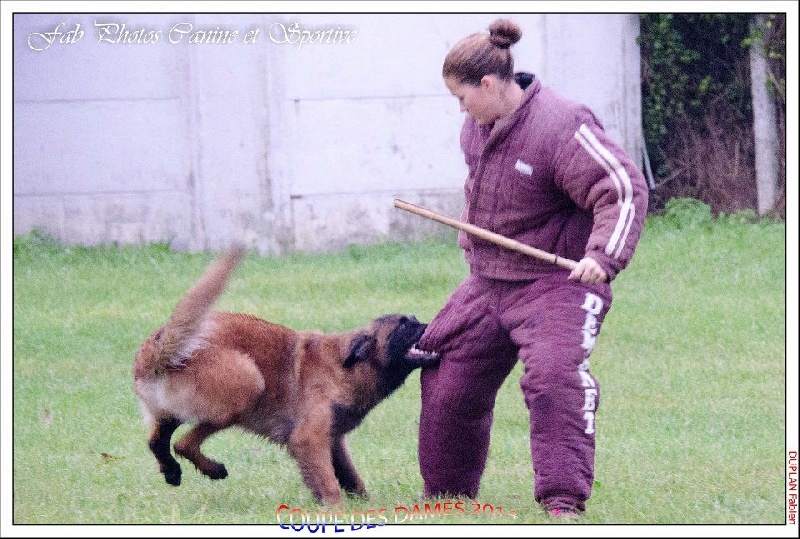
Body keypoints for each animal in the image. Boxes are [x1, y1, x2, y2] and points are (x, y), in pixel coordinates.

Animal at [134, 248, 440, 506]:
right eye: (404, 326)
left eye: (414, 319)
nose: (432, 323)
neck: (347, 366)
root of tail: (158, 347)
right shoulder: (309, 438)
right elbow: (329, 481)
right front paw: (337, 510)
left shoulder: (332, 439)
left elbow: (349, 476)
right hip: (247, 384)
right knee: (183, 443)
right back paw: (213, 469)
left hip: (176, 410)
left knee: (157, 440)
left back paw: (171, 471)